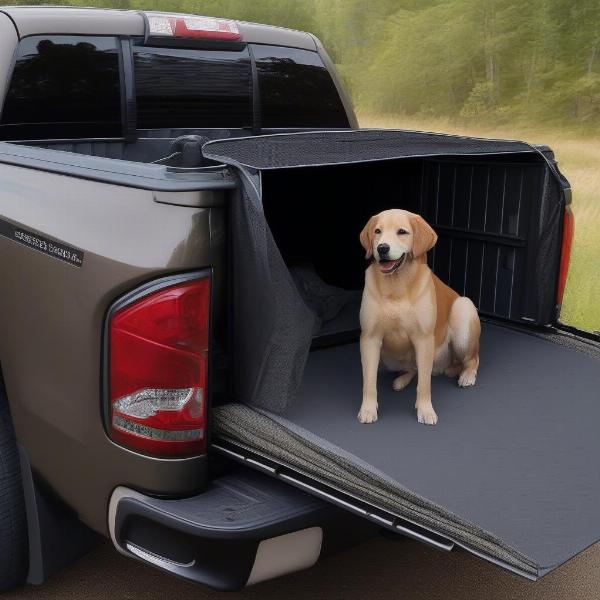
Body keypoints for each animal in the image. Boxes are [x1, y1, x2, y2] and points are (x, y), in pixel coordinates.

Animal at [358, 209, 480, 424]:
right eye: (377, 231)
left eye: (402, 232)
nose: (382, 248)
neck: (397, 286)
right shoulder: (369, 339)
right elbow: (369, 381)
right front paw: (368, 409)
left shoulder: (423, 340)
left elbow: (424, 384)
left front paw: (425, 410)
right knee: (413, 368)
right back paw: (401, 380)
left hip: (463, 311)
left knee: (472, 358)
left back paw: (467, 375)